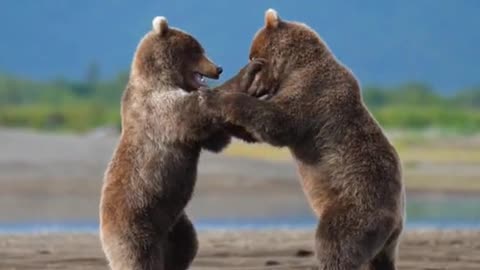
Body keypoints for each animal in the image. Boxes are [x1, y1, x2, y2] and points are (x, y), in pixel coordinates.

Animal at [202, 8, 404, 270]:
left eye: (252, 54)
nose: (254, 88)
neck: (293, 68)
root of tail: (396, 222)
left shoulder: (312, 94)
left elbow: (278, 122)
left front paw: (216, 98)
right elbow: (255, 131)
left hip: (356, 206)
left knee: (335, 243)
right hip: (384, 242)